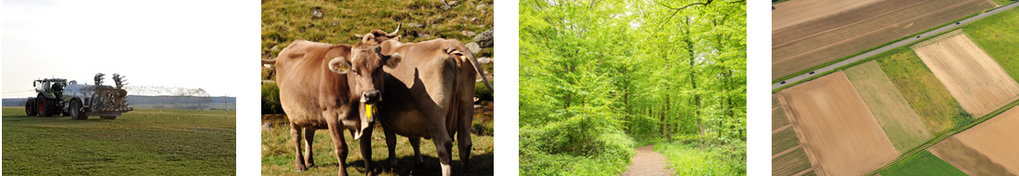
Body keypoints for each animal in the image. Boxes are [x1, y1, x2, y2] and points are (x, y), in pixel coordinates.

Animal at [260, 27, 399, 174]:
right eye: (354, 70)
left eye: (380, 66)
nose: (371, 95)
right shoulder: (332, 117)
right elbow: (341, 148)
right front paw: (343, 173)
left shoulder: (368, 119)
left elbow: (366, 150)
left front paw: (370, 173)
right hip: (291, 112)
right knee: (296, 136)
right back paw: (300, 164)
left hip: (309, 111)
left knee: (309, 135)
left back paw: (309, 161)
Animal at [374, 36, 493, 176]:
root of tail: (445, 44)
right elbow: (414, 140)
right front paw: (418, 161)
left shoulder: (385, 118)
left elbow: (391, 141)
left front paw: (392, 164)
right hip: (466, 105)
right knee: (465, 143)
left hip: (435, 112)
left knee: (444, 145)